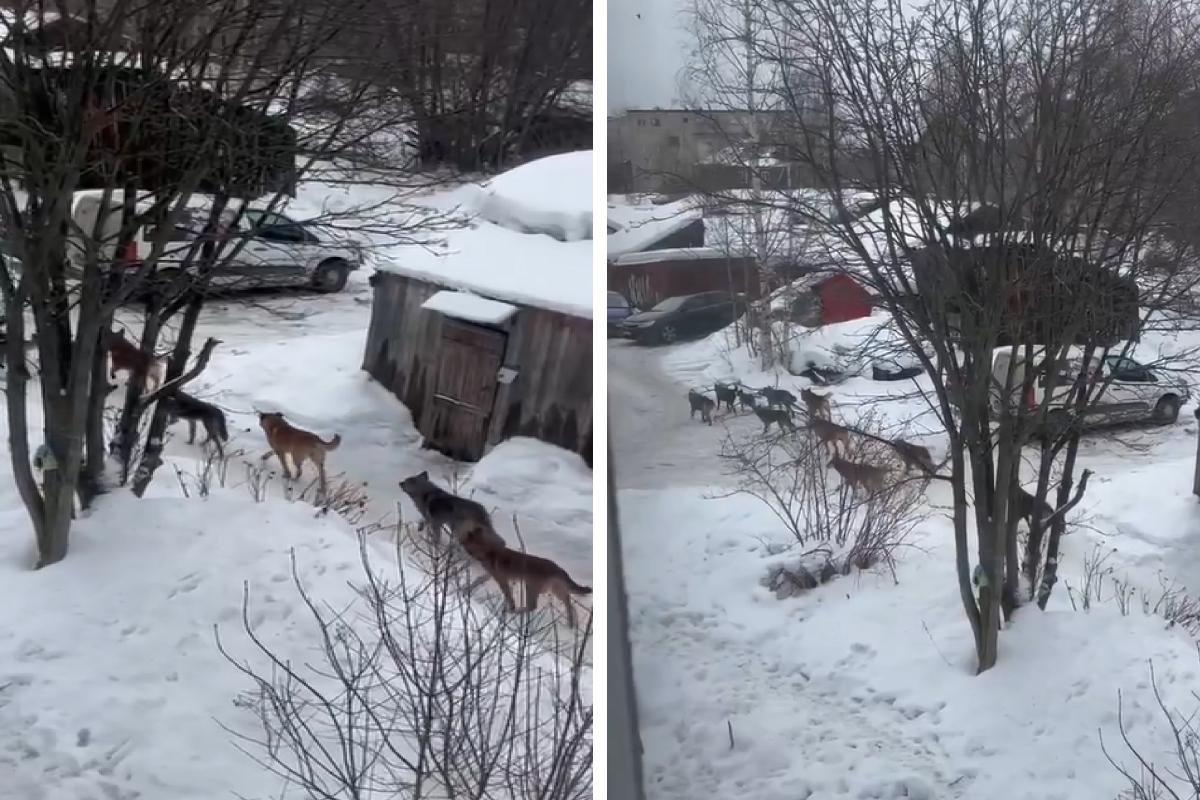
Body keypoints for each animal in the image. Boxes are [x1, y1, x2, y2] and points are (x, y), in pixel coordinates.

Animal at [458, 527, 590, 628]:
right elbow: (477, 581)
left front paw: (511, 608)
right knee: (570, 604)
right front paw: (465, 589)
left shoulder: (502, 580)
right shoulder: (489, 575)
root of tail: (558, 567)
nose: (459, 541)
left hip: (532, 587)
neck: (489, 551)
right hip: (554, 590)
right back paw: (572, 623)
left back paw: (517, 611)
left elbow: (509, 597)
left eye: (465, 540)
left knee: (534, 606)